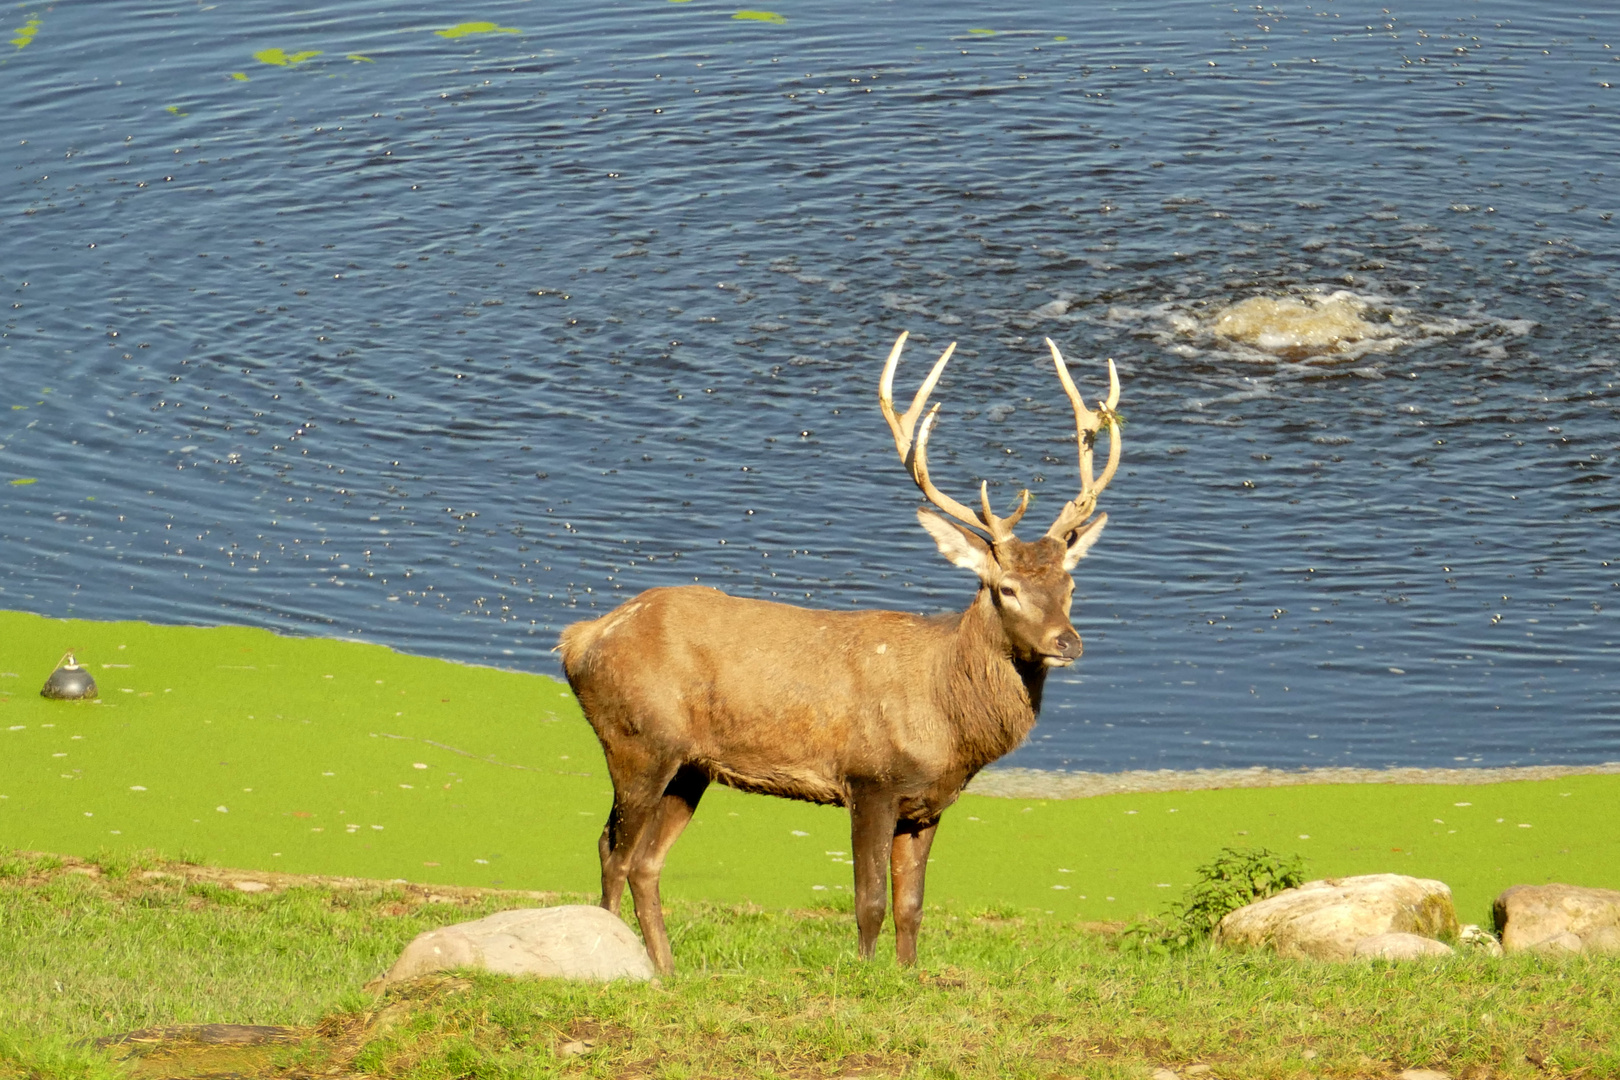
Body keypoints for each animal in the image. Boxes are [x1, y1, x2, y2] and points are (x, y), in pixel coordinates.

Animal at [550, 333, 1121, 977]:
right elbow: (869, 899)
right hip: (637, 740)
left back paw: (668, 969)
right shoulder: (870, 778)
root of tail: (578, 639)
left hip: (690, 766)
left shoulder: (929, 802)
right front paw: (867, 975)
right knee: (612, 849)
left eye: (1070, 584)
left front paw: (908, 975)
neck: (947, 719)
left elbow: (912, 906)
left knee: (646, 860)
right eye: (1007, 588)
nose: (1066, 642)